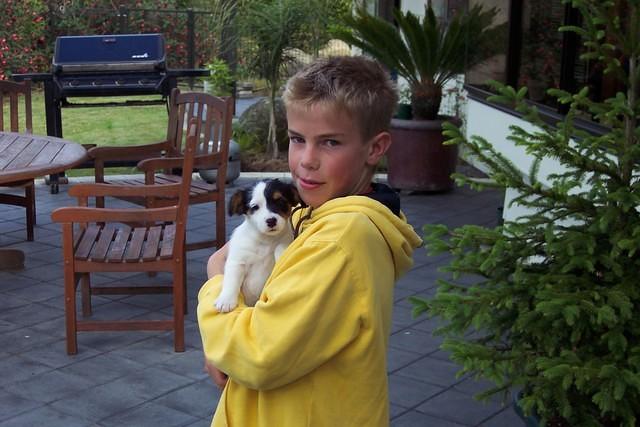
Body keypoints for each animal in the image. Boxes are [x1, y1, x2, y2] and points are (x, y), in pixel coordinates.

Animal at [215, 179, 302, 312]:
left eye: (280, 201)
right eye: (255, 207)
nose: (271, 221)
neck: (265, 241)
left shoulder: (285, 240)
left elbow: (281, 245)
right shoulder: (237, 262)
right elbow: (231, 281)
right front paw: (226, 300)